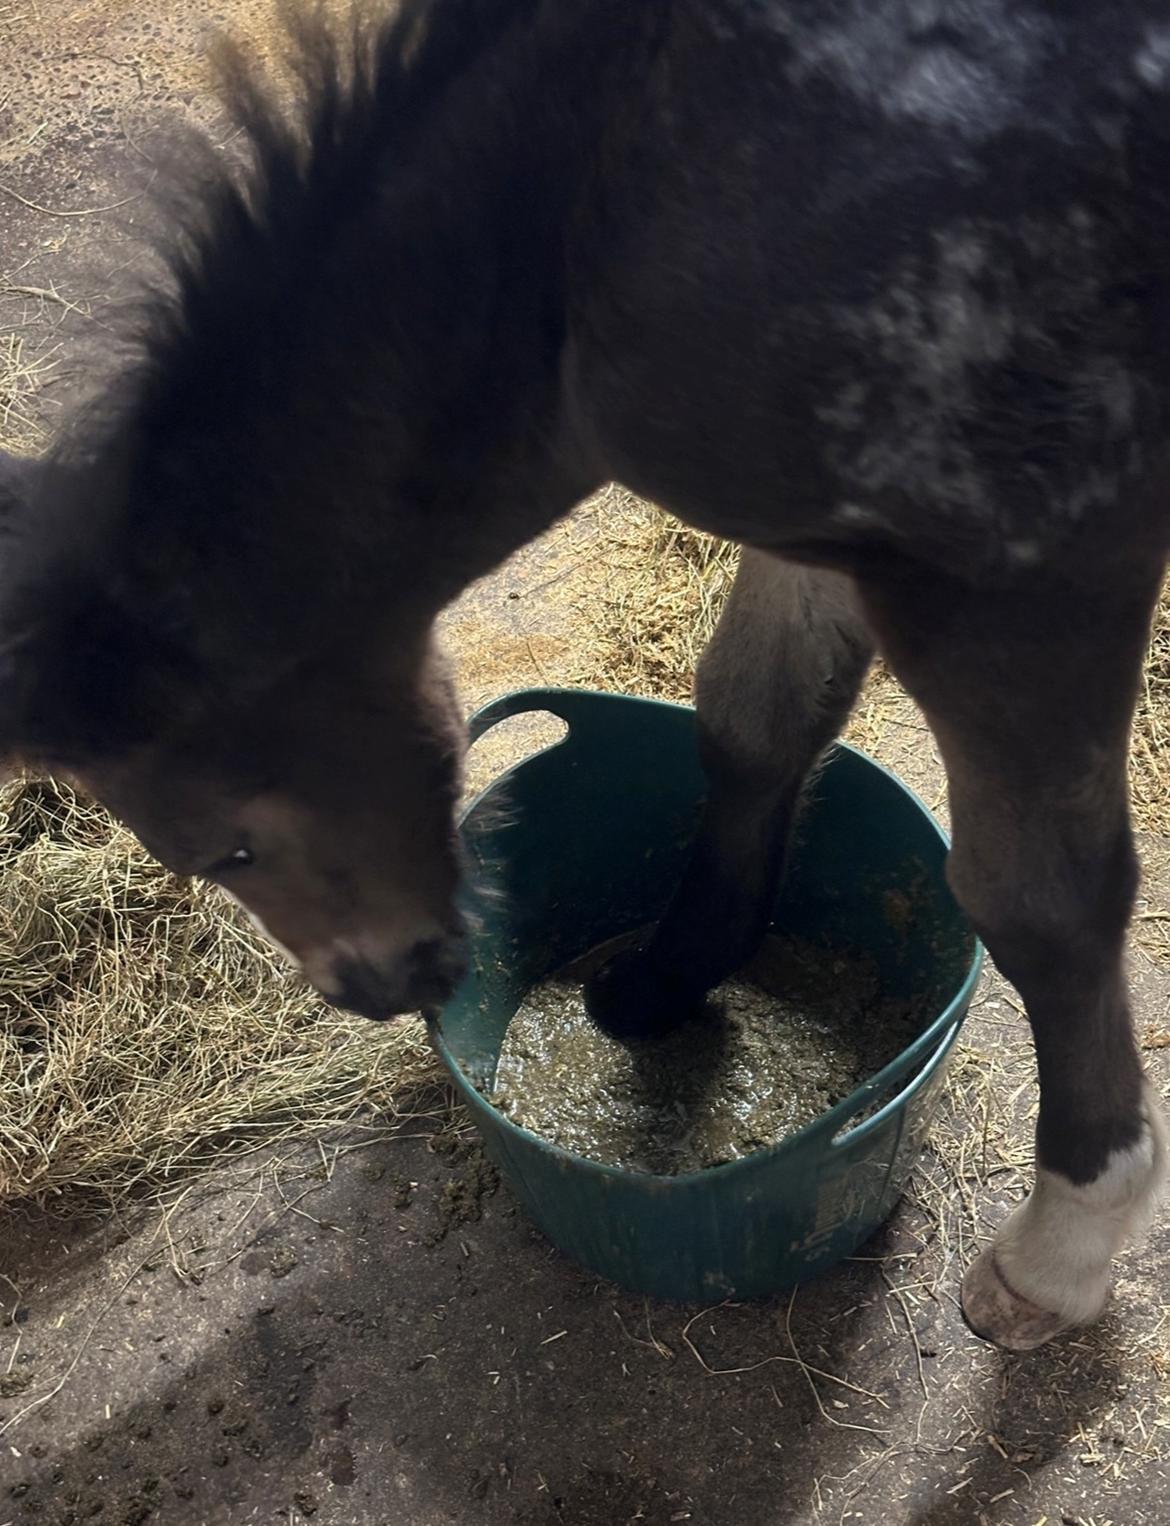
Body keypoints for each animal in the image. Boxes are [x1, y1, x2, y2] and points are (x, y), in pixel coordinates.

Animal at [2, 2, 1170, 1361]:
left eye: (228, 847)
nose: (375, 985)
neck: (604, 198)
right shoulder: (827, 522)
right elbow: (755, 720)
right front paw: (655, 984)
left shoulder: (1018, 567)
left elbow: (1040, 898)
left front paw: (1065, 1245)